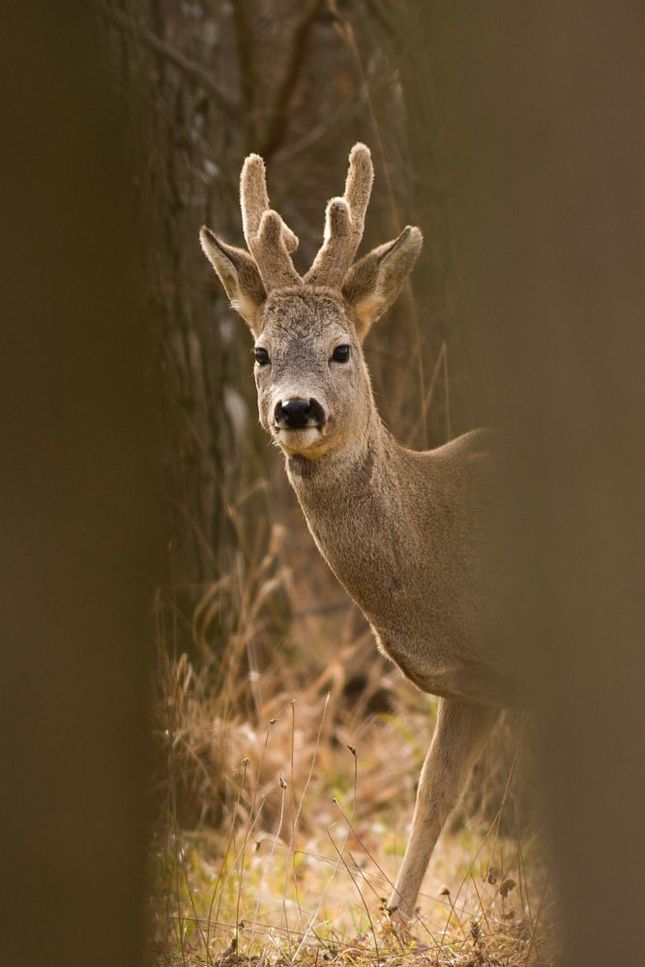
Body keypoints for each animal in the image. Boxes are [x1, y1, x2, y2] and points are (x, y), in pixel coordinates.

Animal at [199, 144, 510, 924]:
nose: (295, 408)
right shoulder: (473, 684)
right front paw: (394, 926)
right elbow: (433, 795)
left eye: (342, 349)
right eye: (260, 352)